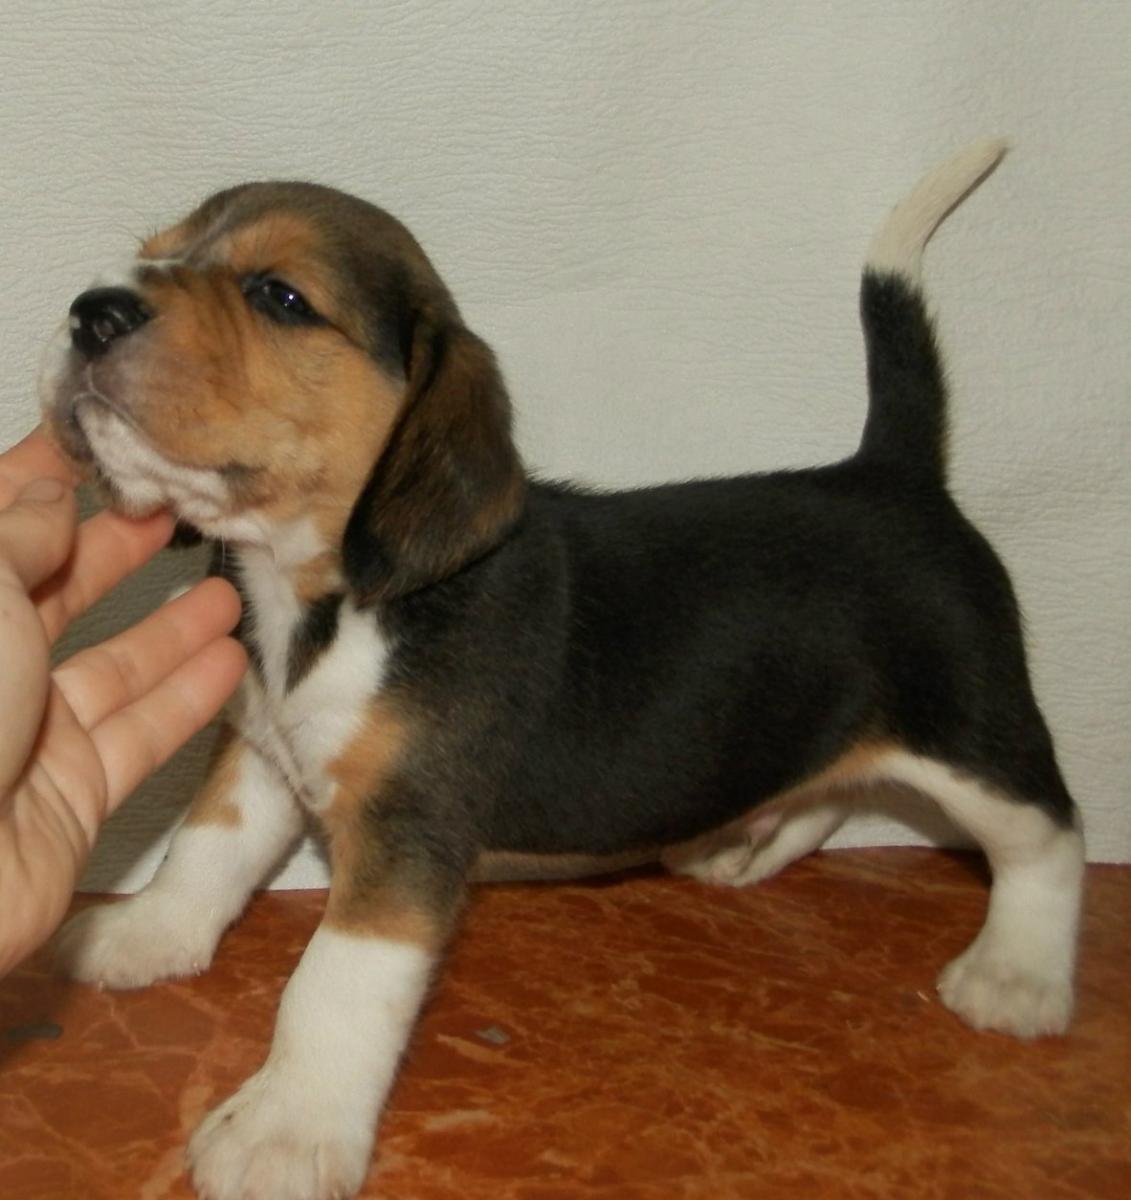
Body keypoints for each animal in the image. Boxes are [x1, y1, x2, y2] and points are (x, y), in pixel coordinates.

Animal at [40, 139, 1084, 1200]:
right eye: (155, 253)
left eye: (280, 296)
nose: (91, 310)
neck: (330, 599)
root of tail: (893, 475)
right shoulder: (259, 753)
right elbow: (203, 854)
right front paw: (143, 934)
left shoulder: (407, 830)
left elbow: (333, 981)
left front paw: (286, 1129)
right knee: (829, 789)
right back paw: (742, 850)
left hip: (969, 732)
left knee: (1047, 837)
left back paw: (1018, 974)